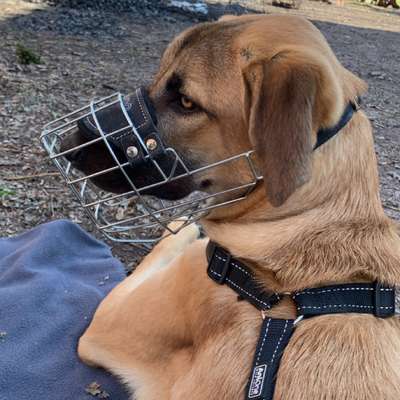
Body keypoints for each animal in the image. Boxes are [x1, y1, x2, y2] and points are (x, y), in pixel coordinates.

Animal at [76, 14, 400, 398]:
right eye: (159, 74)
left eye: (186, 102)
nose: (67, 143)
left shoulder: (106, 320)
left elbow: (163, 248)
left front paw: (180, 227)